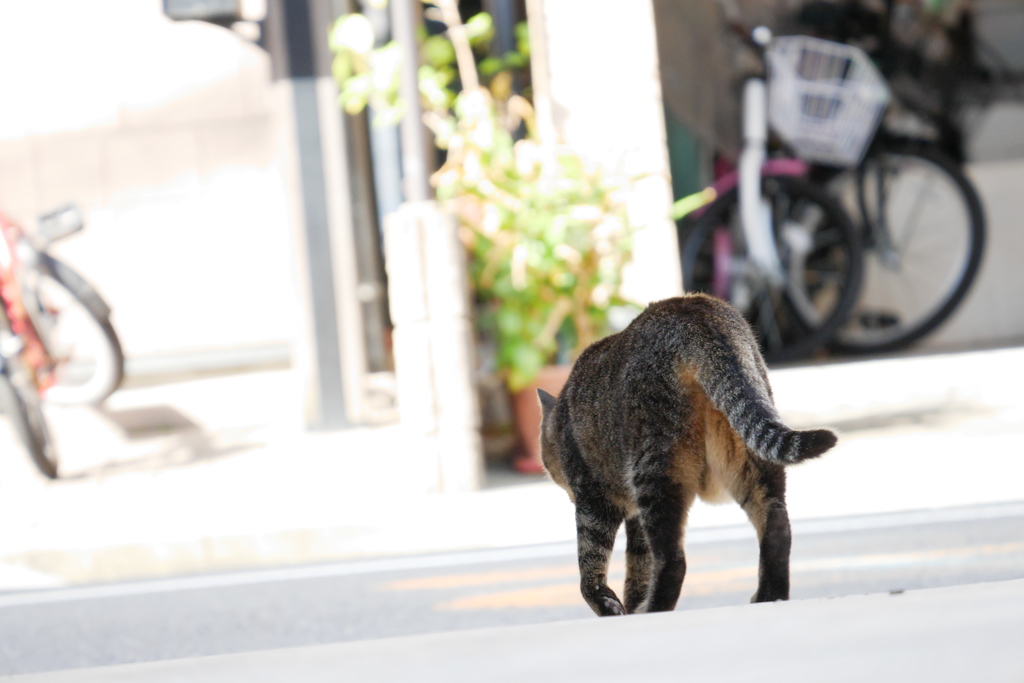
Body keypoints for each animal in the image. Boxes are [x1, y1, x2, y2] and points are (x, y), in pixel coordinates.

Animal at [536, 294, 831, 614]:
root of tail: (695, 311)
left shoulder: (594, 499)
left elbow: (590, 565)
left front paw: (612, 606)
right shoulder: (634, 518)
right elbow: (638, 566)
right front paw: (630, 602)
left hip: (656, 468)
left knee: (673, 560)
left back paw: (652, 609)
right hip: (749, 453)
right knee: (776, 525)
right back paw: (769, 595)